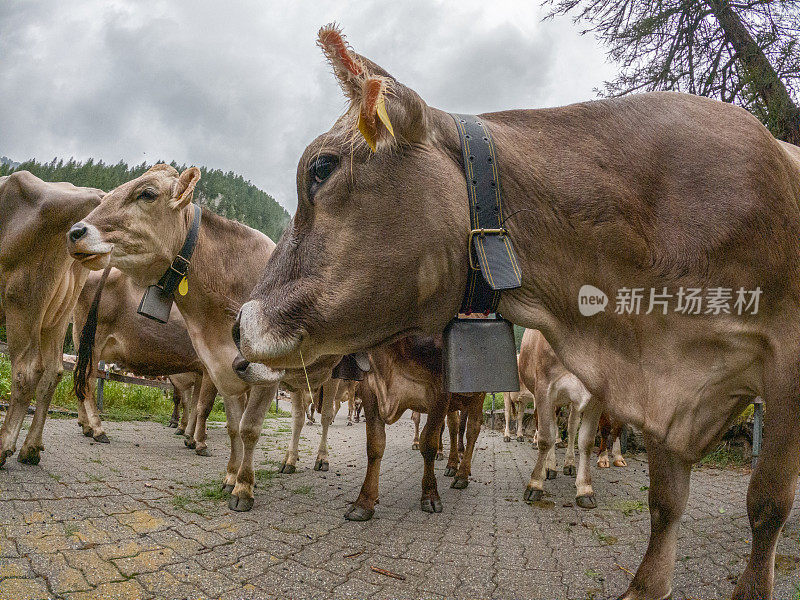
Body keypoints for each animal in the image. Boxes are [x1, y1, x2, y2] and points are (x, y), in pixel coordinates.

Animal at [0, 171, 103, 466]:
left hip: (23, 304)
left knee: (27, 371)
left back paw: (4, 446)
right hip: (57, 316)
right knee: (53, 372)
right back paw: (31, 449)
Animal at [346, 338, 484, 520]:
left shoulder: (440, 392)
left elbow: (429, 444)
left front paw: (430, 495)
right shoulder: (369, 388)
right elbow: (375, 444)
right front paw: (364, 503)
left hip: (478, 394)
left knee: (472, 429)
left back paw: (462, 475)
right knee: (453, 426)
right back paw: (452, 465)